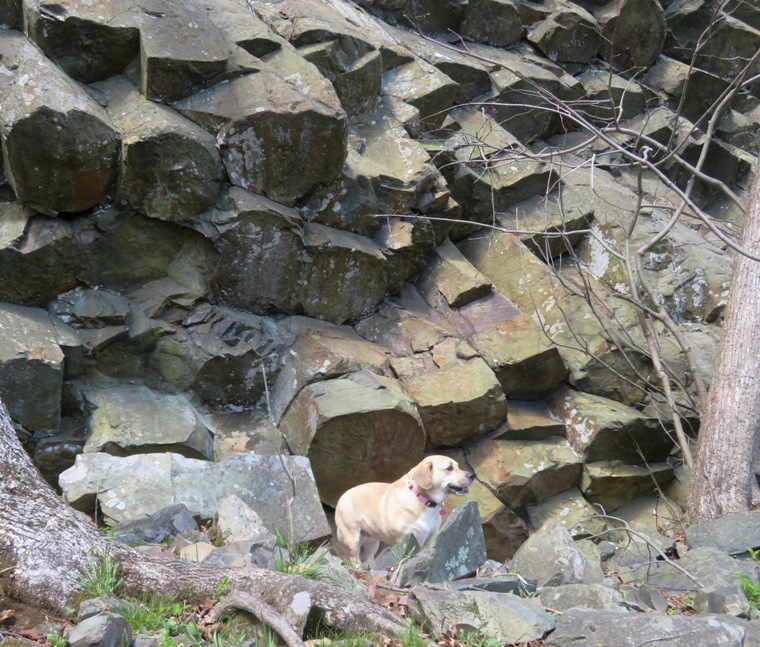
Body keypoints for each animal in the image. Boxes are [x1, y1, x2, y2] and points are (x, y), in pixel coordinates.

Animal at [334, 456, 472, 560]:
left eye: (458, 466)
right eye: (449, 468)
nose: (472, 475)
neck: (423, 501)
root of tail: (342, 496)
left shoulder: (431, 537)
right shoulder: (405, 539)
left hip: (372, 542)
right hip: (352, 539)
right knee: (354, 559)